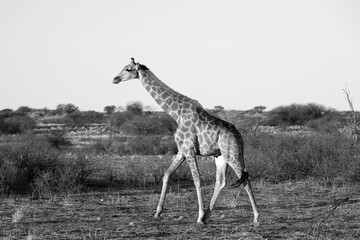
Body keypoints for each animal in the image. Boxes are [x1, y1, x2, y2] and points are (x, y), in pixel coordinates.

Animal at [112, 58, 258, 225]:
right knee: (221, 182)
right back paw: (208, 215)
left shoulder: (189, 149)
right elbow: (167, 175)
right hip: (221, 156)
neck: (177, 113)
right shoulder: (181, 150)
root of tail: (239, 136)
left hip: (232, 155)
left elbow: (197, 179)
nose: (115, 79)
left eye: (128, 69)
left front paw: (199, 216)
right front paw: (158, 212)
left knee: (246, 179)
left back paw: (255, 217)